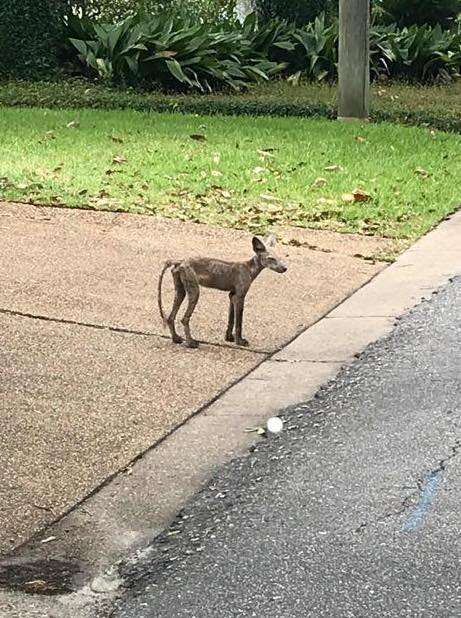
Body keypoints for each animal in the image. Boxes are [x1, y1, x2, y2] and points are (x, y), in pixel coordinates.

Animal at [158, 233, 288, 346]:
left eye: (279, 257)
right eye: (271, 258)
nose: (285, 268)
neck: (249, 269)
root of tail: (180, 261)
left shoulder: (232, 295)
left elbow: (231, 320)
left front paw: (229, 338)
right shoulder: (240, 296)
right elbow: (239, 322)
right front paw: (239, 341)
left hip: (181, 291)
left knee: (170, 318)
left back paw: (176, 339)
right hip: (195, 292)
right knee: (184, 319)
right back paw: (191, 343)